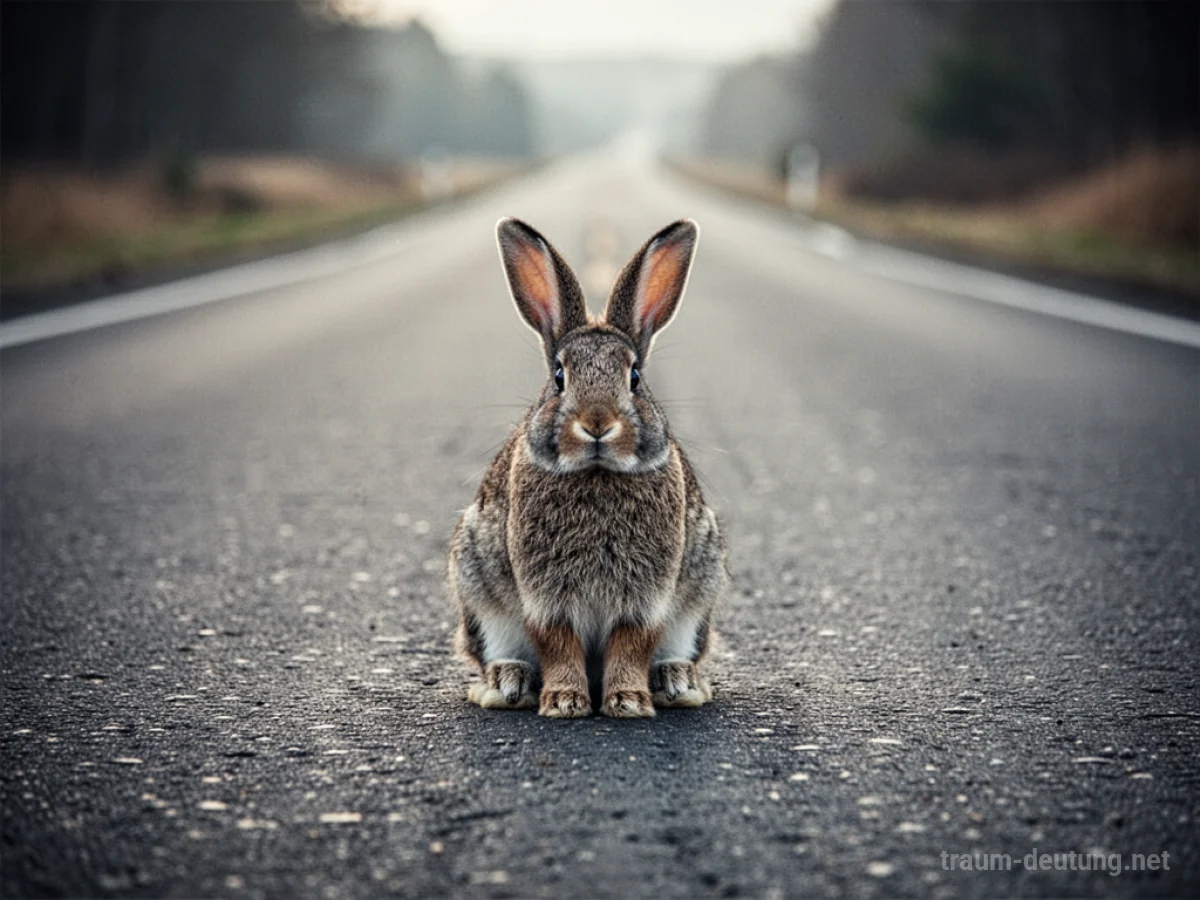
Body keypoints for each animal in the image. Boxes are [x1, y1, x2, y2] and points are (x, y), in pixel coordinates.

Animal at [448, 217, 728, 718]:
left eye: (634, 377)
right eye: (559, 376)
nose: (597, 423)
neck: (597, 473)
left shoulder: (645, 599)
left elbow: (632, 643)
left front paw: (628, 701)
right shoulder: (545, 597)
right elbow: (557, 643)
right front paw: (565, 702)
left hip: (700, 590)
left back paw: (677, 682)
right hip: (477, 586)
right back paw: (505, 683)